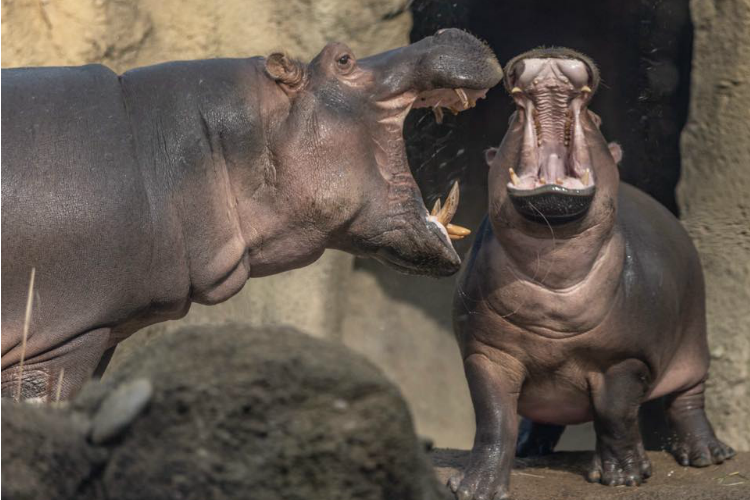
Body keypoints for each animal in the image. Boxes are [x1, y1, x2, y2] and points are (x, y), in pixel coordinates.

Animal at [450, 47, 736, 500]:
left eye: (598, 122)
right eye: (510, 121)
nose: (549, 50)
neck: (554, 273)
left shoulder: (625, 359)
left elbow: (616, 415)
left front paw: (625, 477)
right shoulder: (486, 352)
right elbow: (493, 418)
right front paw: (475, 487)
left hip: (693, 348)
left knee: (687, 402)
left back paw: (708, 455)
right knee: (540, 416)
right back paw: (530, 449)